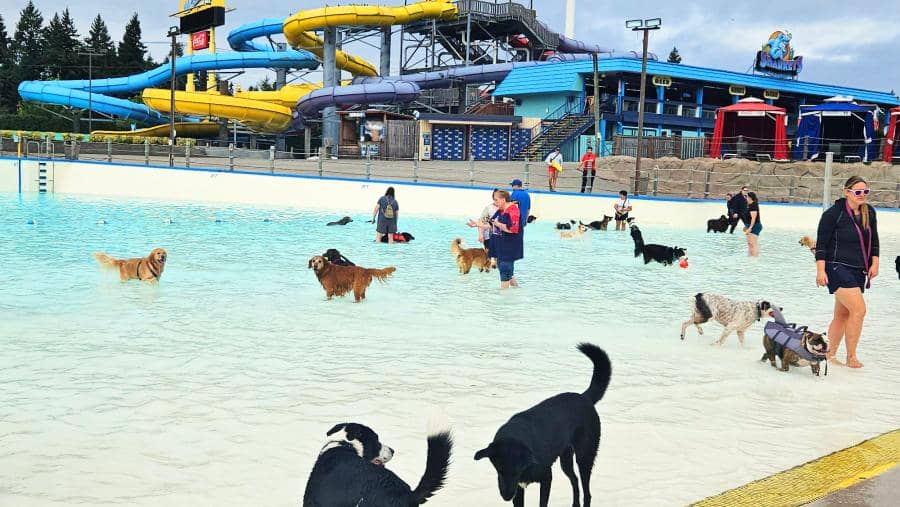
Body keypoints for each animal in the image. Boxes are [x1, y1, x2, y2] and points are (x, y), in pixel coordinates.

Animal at [472, 344, 612, 506]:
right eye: (499, 470)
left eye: (516, 472)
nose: (507, 496)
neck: (516, 437)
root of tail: (584, 397)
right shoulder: (519, 488)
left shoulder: (546, 478)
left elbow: (542, 502)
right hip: (566, 459)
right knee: (575, 479)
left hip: (585, 456)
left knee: (587, 491)